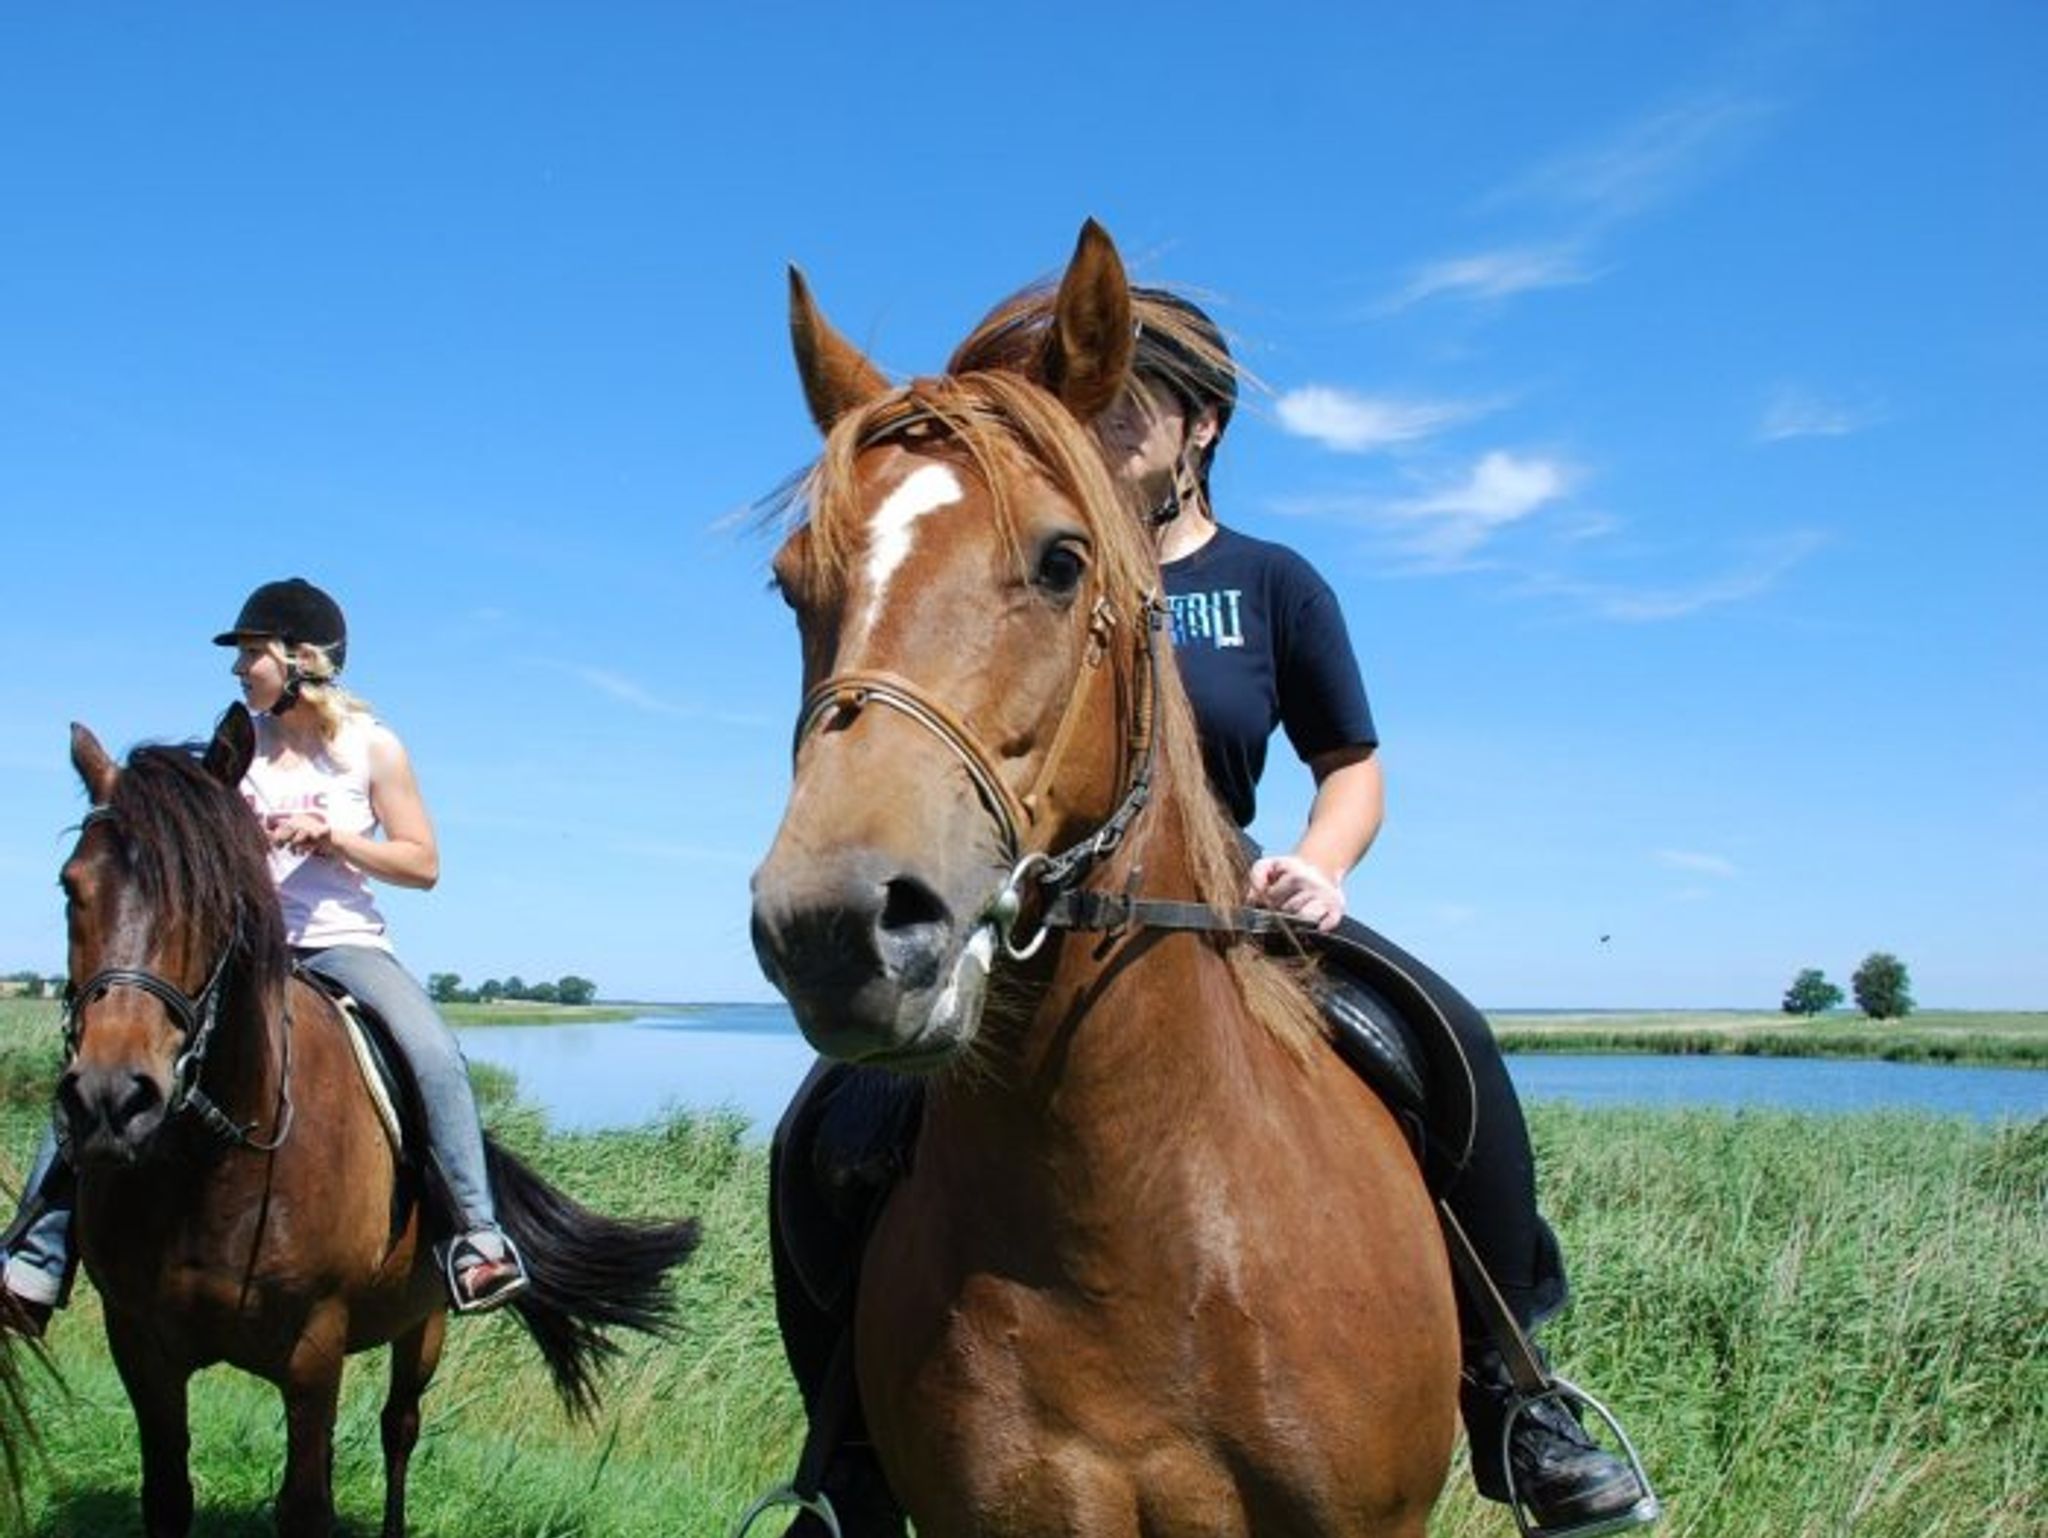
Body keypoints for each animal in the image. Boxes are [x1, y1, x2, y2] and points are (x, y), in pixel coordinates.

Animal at [51, 704, 704, 1531]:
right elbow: (169, 1494)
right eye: (72, 887)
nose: (111, 1101)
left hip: (421, 1326)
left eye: (217, 895)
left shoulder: (313, 1347)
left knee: (400, 1430)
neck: (213, 1166)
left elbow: (307, 1503)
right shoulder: (139, 1343)